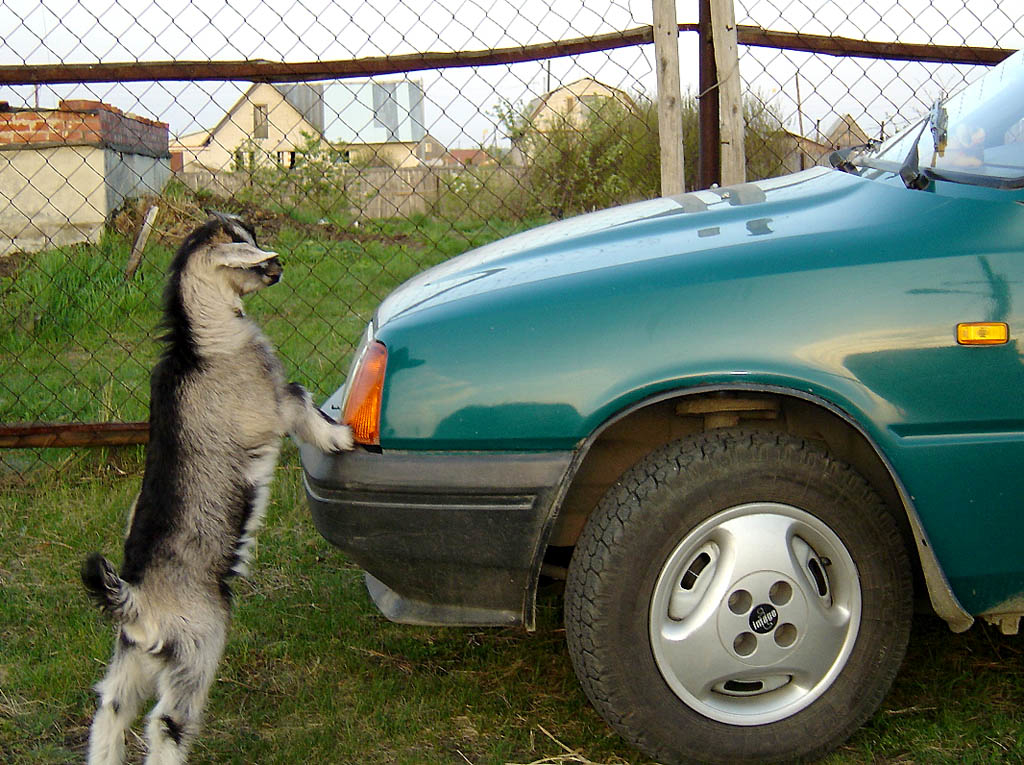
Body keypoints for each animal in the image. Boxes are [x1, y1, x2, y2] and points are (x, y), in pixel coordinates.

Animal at [80, 210, 352, 765]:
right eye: (248, 250)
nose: (279, 268)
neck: (204, 342)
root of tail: (137, 600)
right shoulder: (270, 408)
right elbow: (301, 398)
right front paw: (342, 437)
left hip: (133, 657)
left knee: (111, 708)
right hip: (197, 645)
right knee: (166, 724)